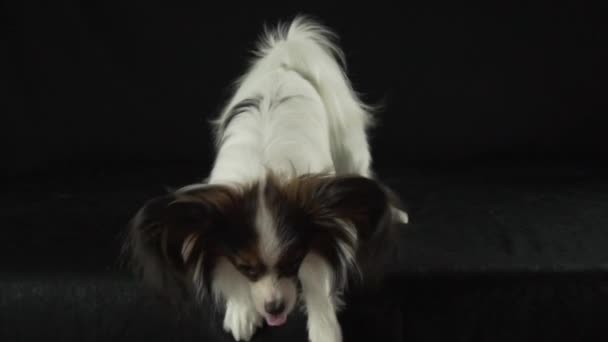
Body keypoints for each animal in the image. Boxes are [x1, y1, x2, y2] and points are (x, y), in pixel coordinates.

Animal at [123, 15, 408, 342]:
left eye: (293, 262)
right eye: (246, 269)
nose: (275, 308)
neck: (263, 175)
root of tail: (286, 63)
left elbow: (317, 283)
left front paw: (324, 329)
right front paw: (242, 311)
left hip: (351, 150)